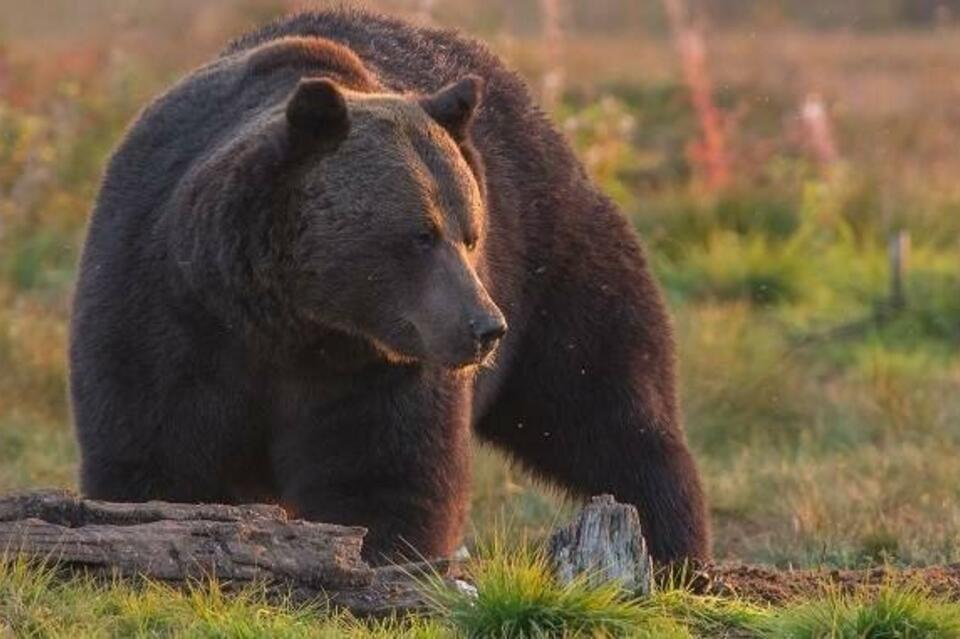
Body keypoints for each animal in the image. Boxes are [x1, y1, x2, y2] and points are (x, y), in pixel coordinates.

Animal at [67, 7, 708, 564]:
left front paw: (379, 555)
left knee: (609, 402)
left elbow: (381, 472)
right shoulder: (166, 319)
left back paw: (677, 548)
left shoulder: (375, 367)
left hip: (552, 259)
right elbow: (158, 458)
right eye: (422, 234)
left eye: (470, 233)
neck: (288, 323)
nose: (485, 328)